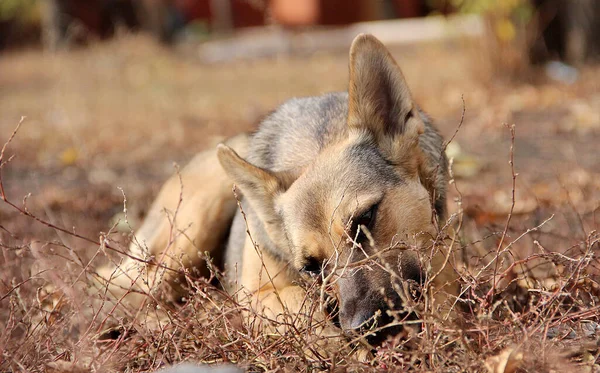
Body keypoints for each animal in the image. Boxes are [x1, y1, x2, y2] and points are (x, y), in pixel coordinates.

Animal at [95, 33, 460, 348]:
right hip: (195, 223)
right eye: (311, 267)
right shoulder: (260, 295)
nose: (364, 330)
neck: (313, 146)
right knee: (136, 291)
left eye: (365, 218)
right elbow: (304, 309)